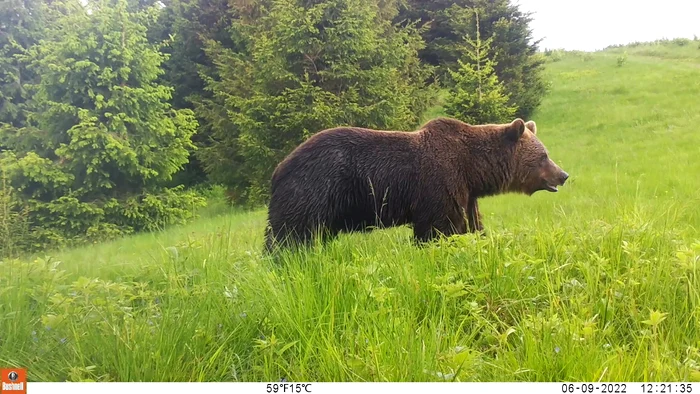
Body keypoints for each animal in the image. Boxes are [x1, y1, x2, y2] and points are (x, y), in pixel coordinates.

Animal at [262, 117, 568, 252]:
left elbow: (471, 223)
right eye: (544, 156)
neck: (473, 168)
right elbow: (438, 227)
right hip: (314, 188)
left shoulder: (466, 192)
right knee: (290, 235)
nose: (563, 175)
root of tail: (278, 168)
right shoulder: (439, 182)